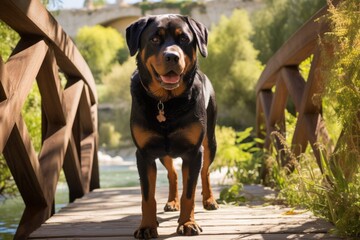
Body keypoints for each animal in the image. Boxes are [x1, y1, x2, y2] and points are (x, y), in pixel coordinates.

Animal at [125, 15, 218, 238]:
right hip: (163, 150)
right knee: (172, 173)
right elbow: (147, 197)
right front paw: (147, 226)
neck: (166, 103)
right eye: (154, 39)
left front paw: (187, 223)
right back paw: (171, 202)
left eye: (184, 38)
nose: (172, 56)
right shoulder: (144, 153)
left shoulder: (193, 152)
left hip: (210, 141)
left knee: (205, 171)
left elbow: (189, 193)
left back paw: (209, 199)